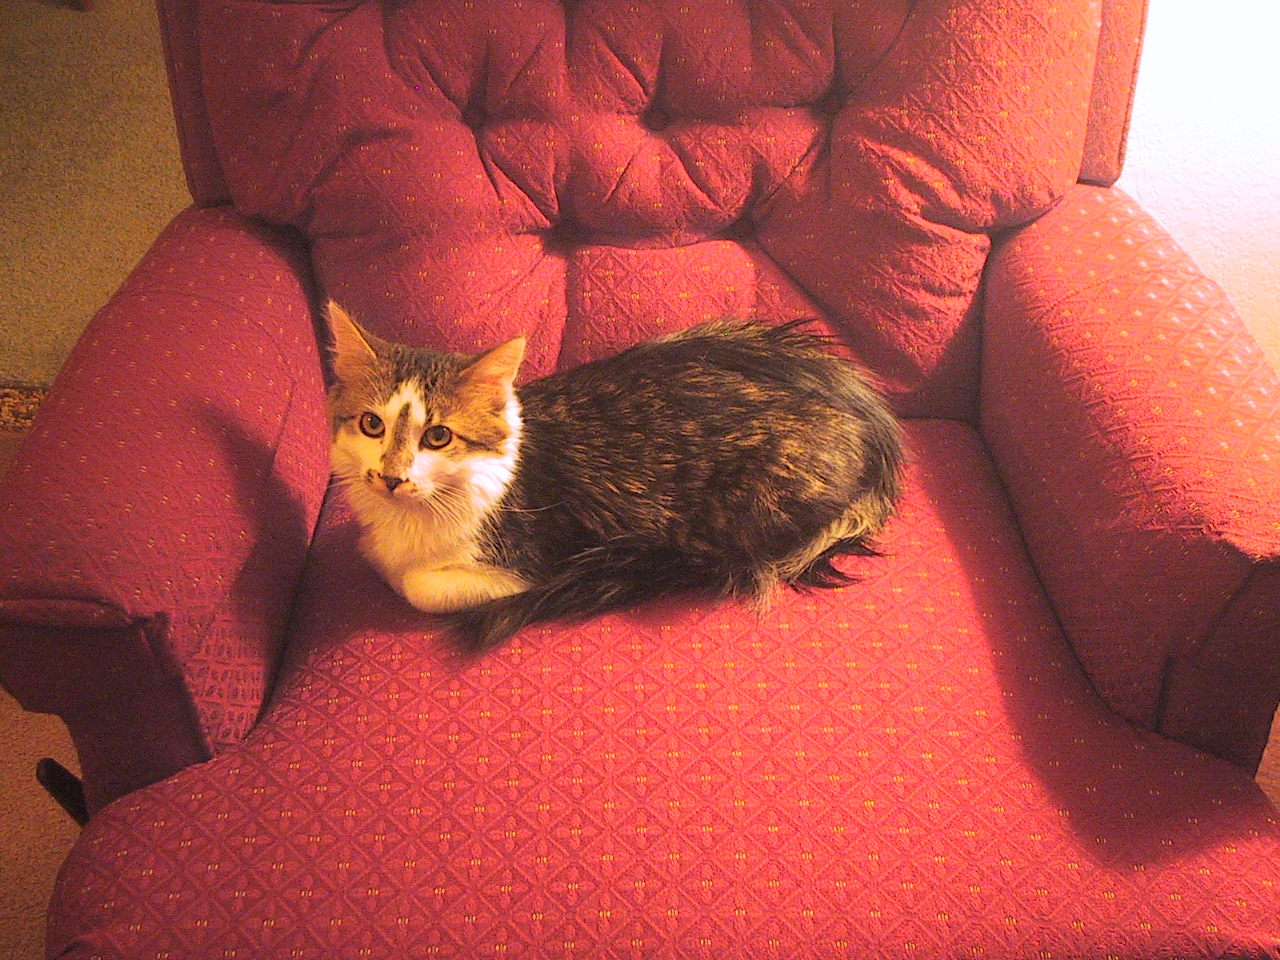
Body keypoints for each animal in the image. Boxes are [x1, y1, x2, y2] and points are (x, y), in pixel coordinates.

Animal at [326, 301, 904, 651]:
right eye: (372, 425)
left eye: (438, 437)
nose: (391, 476)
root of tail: (870, 426)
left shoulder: (542, 562)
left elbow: (417, 583)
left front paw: (398, 569)